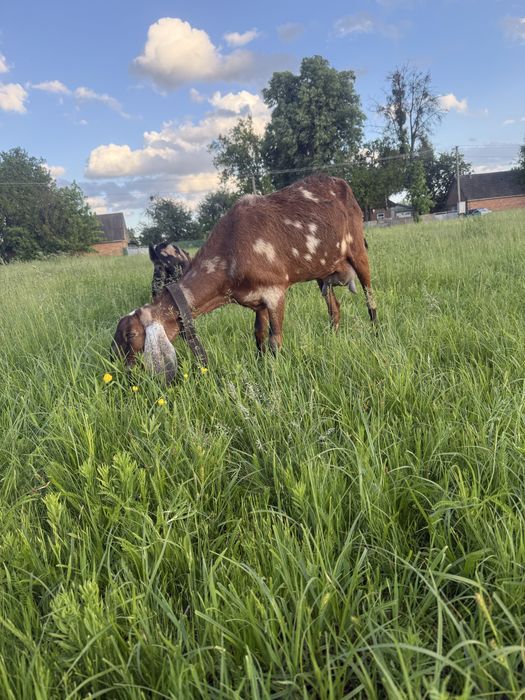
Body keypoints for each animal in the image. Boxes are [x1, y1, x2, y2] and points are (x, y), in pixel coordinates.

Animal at [113, 174, 377, 382]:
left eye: (130, 335)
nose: (124, 372)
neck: (230, 251)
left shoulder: (275, 291)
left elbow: (275, 339)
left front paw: (273, 374)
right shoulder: (256, 301)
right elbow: (258, 337)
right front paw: (261, 366)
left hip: (357, 250)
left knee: (369, 296)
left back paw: (376, 331)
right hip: (323, 272)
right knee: (335, 308)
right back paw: (333, 336)